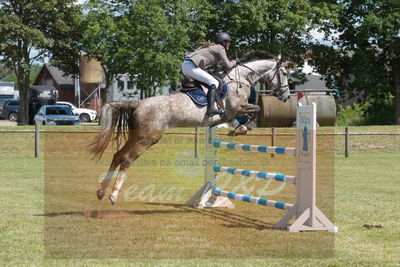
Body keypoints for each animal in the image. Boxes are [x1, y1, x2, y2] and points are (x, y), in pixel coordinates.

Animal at [90, 50, 290, 205]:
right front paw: (243, 127)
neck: (240, 79)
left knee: (117, 156)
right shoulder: (235, 108)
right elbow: (256, 109)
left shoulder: (231, 113)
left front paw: (238, 129)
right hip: (148, 138)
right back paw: (113, 195)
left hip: (136, 136)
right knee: (126, 160)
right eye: (285, 73)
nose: (286, 96)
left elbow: (246, 114)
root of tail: (138, 103)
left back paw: (101, 191)